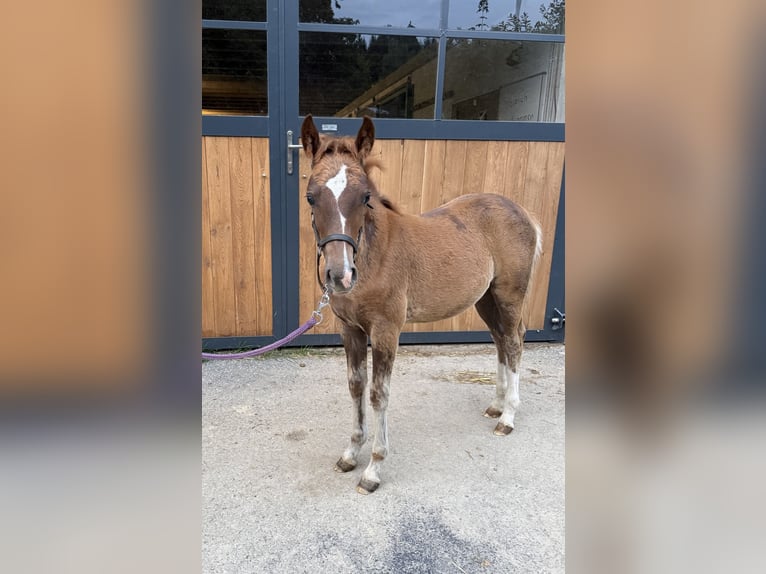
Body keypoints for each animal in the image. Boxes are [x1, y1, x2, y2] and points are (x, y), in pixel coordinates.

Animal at [301, 115, 543, 494]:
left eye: (365, 196)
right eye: (311, 196)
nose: (340, 275)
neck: (373, 255)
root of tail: (523, 211)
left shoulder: (386, 330)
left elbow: (378, 393)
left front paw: (373, 469)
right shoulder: (349, 329)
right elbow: (355, 386)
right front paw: (351, 454)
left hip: (509, 295)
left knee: (515, 344)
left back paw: (508, 417)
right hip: (485, 300)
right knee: (502, 342)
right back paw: (496, 405)